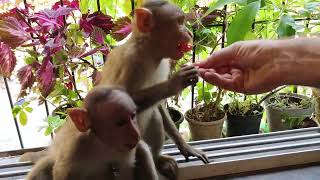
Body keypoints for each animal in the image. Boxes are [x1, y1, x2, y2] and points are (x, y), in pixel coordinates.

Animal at [25, 86, 158, 179]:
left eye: (133, 116)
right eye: (120, 123)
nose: (135, 133)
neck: (101, 143)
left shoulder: (127, 150)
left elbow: (126, 171)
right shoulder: (76, 146)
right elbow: (61, 171)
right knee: (45, 164)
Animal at [99, 0, 210, 179]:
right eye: (179, 22)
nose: (189, 33)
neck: (149, 53)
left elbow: (159, 105)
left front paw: (185, 146)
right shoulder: (129, 63)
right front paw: (175, 83)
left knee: (155, 115)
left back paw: (157, 158)